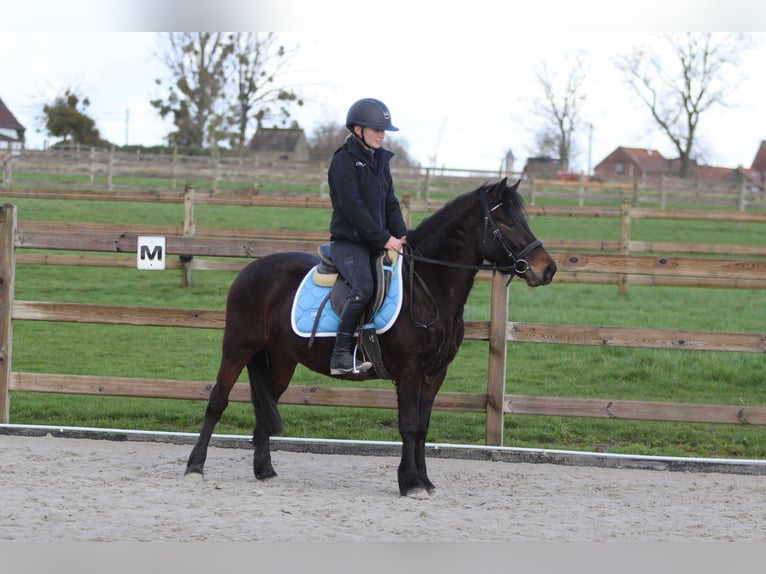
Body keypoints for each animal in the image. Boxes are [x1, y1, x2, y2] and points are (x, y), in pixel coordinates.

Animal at [185, 178, 557, 496]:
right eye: (507, 223)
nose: (548, 268)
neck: (427, 286)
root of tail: (249, 270)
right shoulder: (409, 370)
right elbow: (409, 425)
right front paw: (411, 483)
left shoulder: (435, 373)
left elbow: (422, 427)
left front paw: (423, 480)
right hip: (238, 347)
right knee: (217, 400)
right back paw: (195, 467)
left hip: (281, 359)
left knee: (266, 404)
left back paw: (264, 470)